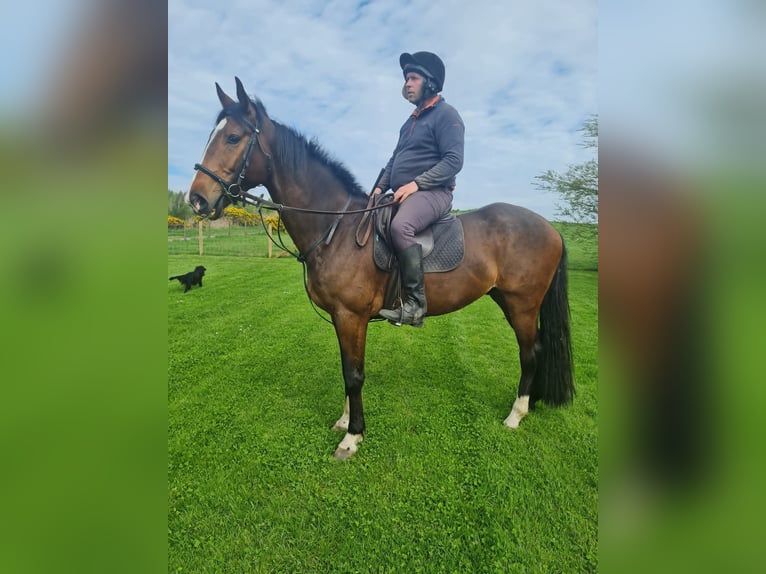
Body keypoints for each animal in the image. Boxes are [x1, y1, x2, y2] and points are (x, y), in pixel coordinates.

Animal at [186, 77, 574, 460]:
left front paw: (352, 437)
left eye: (233, 137)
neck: (336, 227)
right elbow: (346, 367)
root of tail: (552, 228)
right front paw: (345, 422)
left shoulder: (350, 315)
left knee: (530, 352)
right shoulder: (341, 318)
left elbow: (353, 374)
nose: (197, 199)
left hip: (521, 304)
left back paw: (516, 414)